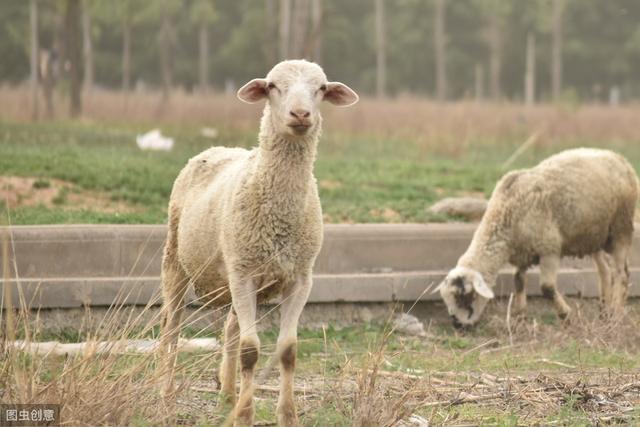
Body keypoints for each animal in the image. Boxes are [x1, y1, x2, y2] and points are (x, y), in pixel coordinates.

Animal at [159, 58, 360, 426]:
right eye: (272, 86)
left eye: (321, 88)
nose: (300, 114)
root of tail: (215, 149)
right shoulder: (245, 275)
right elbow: (251, 351)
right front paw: (246, 415)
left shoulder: (299, 278)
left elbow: (287, 350)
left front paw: (287, 415)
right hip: (177, 259)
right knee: (171, 327)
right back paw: (166, 395)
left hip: (235, 268)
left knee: (230, 328)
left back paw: (227, 394)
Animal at [438, 149, 636, 330]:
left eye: (466, 297)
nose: (457, 325)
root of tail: (619, 158)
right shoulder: (522, 252)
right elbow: (518, 281)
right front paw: (520, 318)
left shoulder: (549, 249)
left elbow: (547, 287)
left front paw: (566, 316)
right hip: (592, 236)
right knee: (605, 270)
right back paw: (604, 312)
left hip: (621, 227)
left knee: (622, 273)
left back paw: (616, 315)